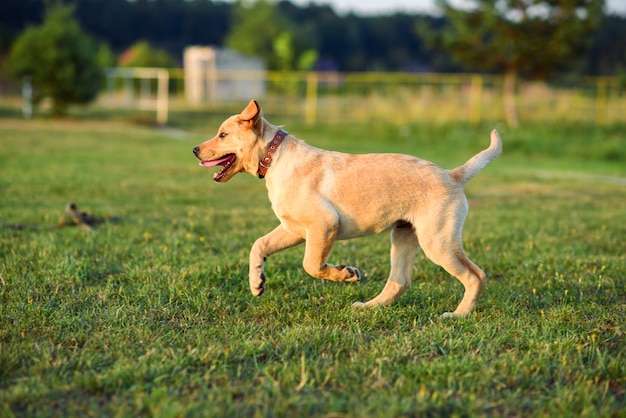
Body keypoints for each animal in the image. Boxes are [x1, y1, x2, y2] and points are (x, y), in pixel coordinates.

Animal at [193, 100, 500, 316]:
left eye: (222, 135)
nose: (195, 150)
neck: (273, 156)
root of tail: (453, 175)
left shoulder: (323, 224)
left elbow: (311, 264)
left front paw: (344, 273)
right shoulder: (294, 228)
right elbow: (259, 245)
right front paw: (257, 282)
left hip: (437, 241)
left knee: (476, 276)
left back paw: (458, 315)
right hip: (404, 235)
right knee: (399, 281)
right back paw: (370, 307)